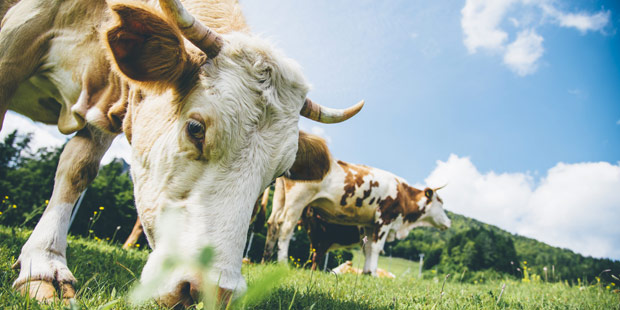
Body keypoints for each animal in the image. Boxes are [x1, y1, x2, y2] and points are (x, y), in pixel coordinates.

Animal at [1, 0, 364, 306]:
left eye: (279, 173)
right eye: (195, 129)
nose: (215, 291)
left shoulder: (113, 106)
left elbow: (77, 169)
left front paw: (42, 261)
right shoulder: (17, 42)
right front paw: (44, 267)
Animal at [262, 134, 450, 274]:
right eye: (440, 201)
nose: (449, 222)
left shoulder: (370, 223)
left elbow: (368, 248)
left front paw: (367, 271)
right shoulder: (385, 219)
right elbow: (377, 248)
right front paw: (373, 273)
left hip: (280, 197)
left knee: (273, 224)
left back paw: (265, 260)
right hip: (298, 199)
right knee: (285, 227)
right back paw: (282, 263)